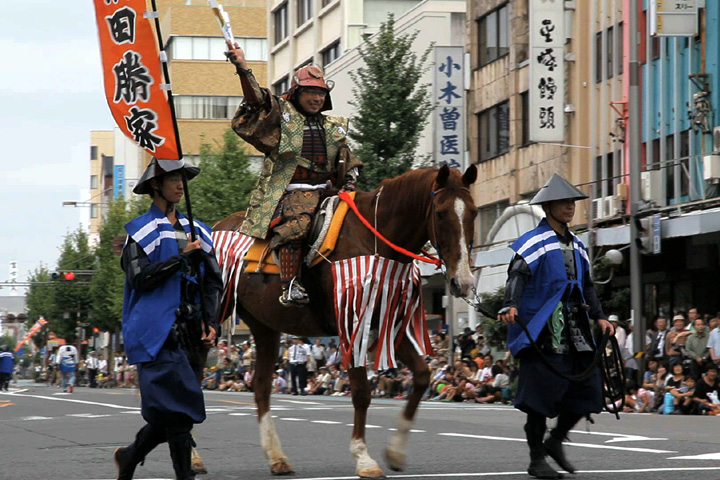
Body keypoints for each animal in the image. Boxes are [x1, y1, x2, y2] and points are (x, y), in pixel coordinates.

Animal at [214, 164, 478, 476]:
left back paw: (277, 458)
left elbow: (423, 376)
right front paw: (363, 458)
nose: (463, 281)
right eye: (440, 213)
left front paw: (396, 451)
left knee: (262, 385)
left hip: (264, 324)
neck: (376, 242)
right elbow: (362, 392)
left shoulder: (388, 323)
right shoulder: (352, 324)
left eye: (473, 212)